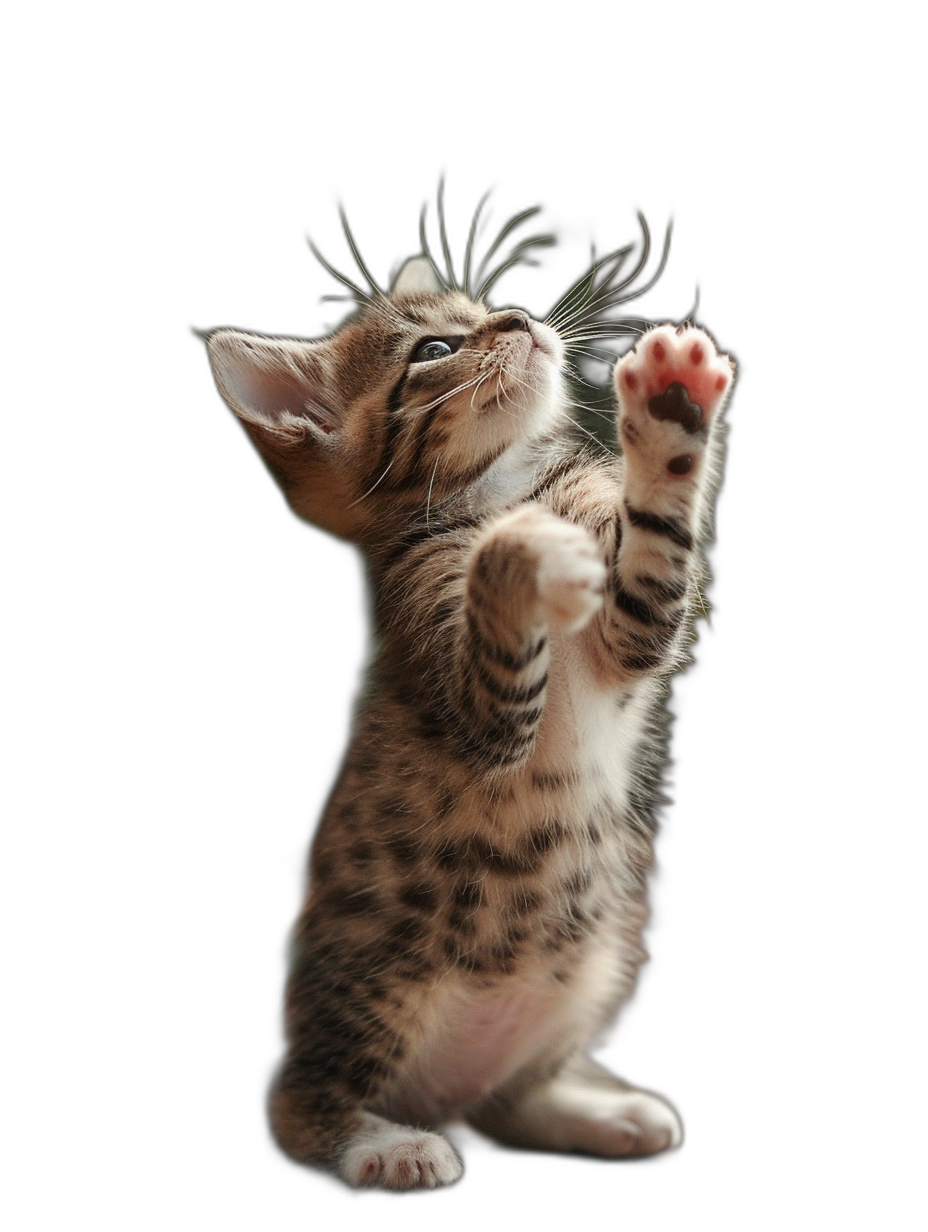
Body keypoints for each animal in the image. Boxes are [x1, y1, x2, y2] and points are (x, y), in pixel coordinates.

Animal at [208, 242, 729, 1192]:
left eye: (486, 308)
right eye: (434, 350)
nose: (519, 319)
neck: (502, 483)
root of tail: (438, 1097)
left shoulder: (633, 626)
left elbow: (650, 568)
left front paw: (673, 408)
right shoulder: (472, 697)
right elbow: (493, 580)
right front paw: (516, 547)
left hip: (597, 962)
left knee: (506, 1102)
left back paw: (596, 1110)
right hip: (380, 982)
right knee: (301, 1103)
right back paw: (385, 1144)